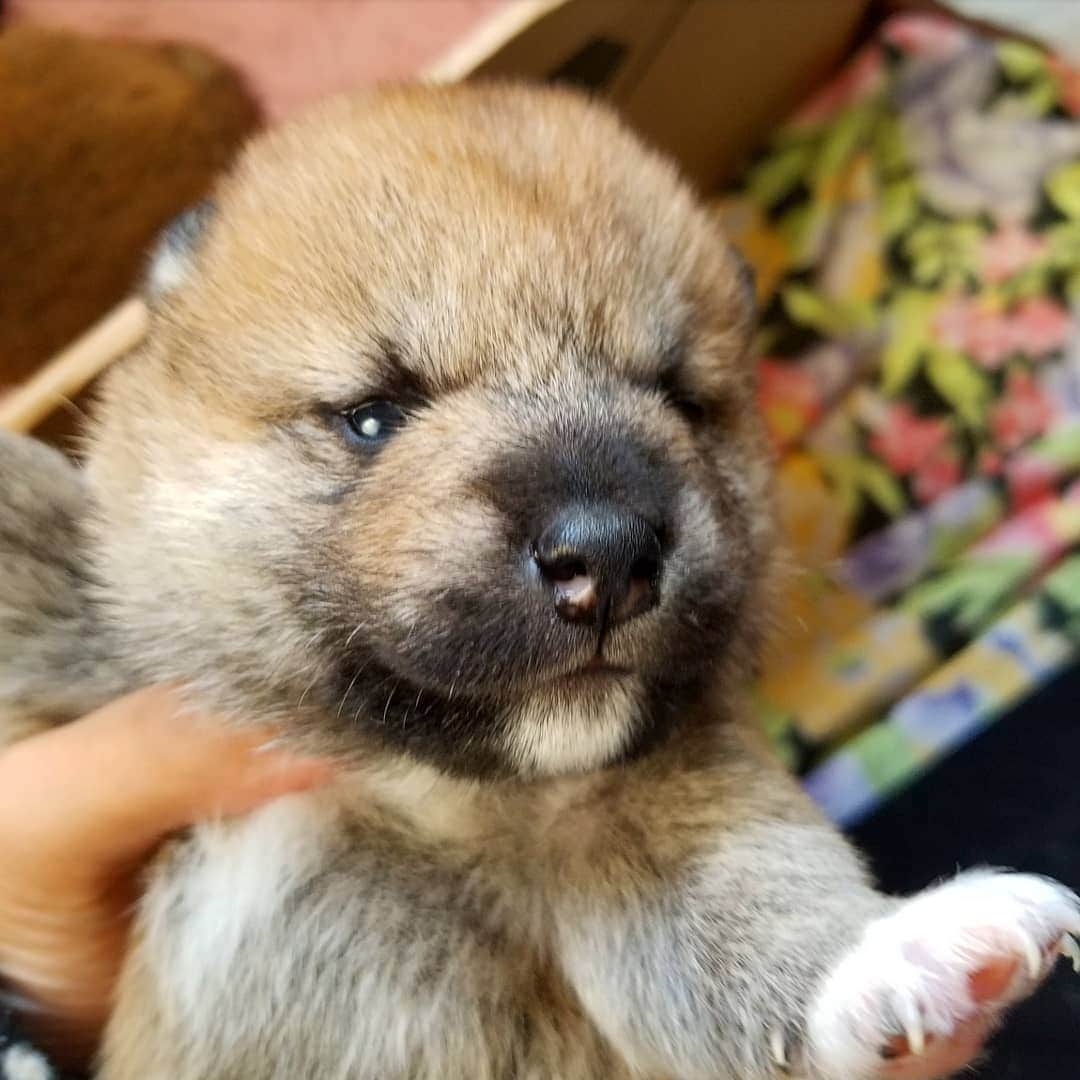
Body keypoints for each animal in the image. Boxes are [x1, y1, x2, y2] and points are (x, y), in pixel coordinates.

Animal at [2, 84, 1080, 1080]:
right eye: (374, 416)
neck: (420, 791)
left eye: (682, 400)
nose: (606, 554)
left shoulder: (641, 814)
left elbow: (750, 899)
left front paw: (902, 957)